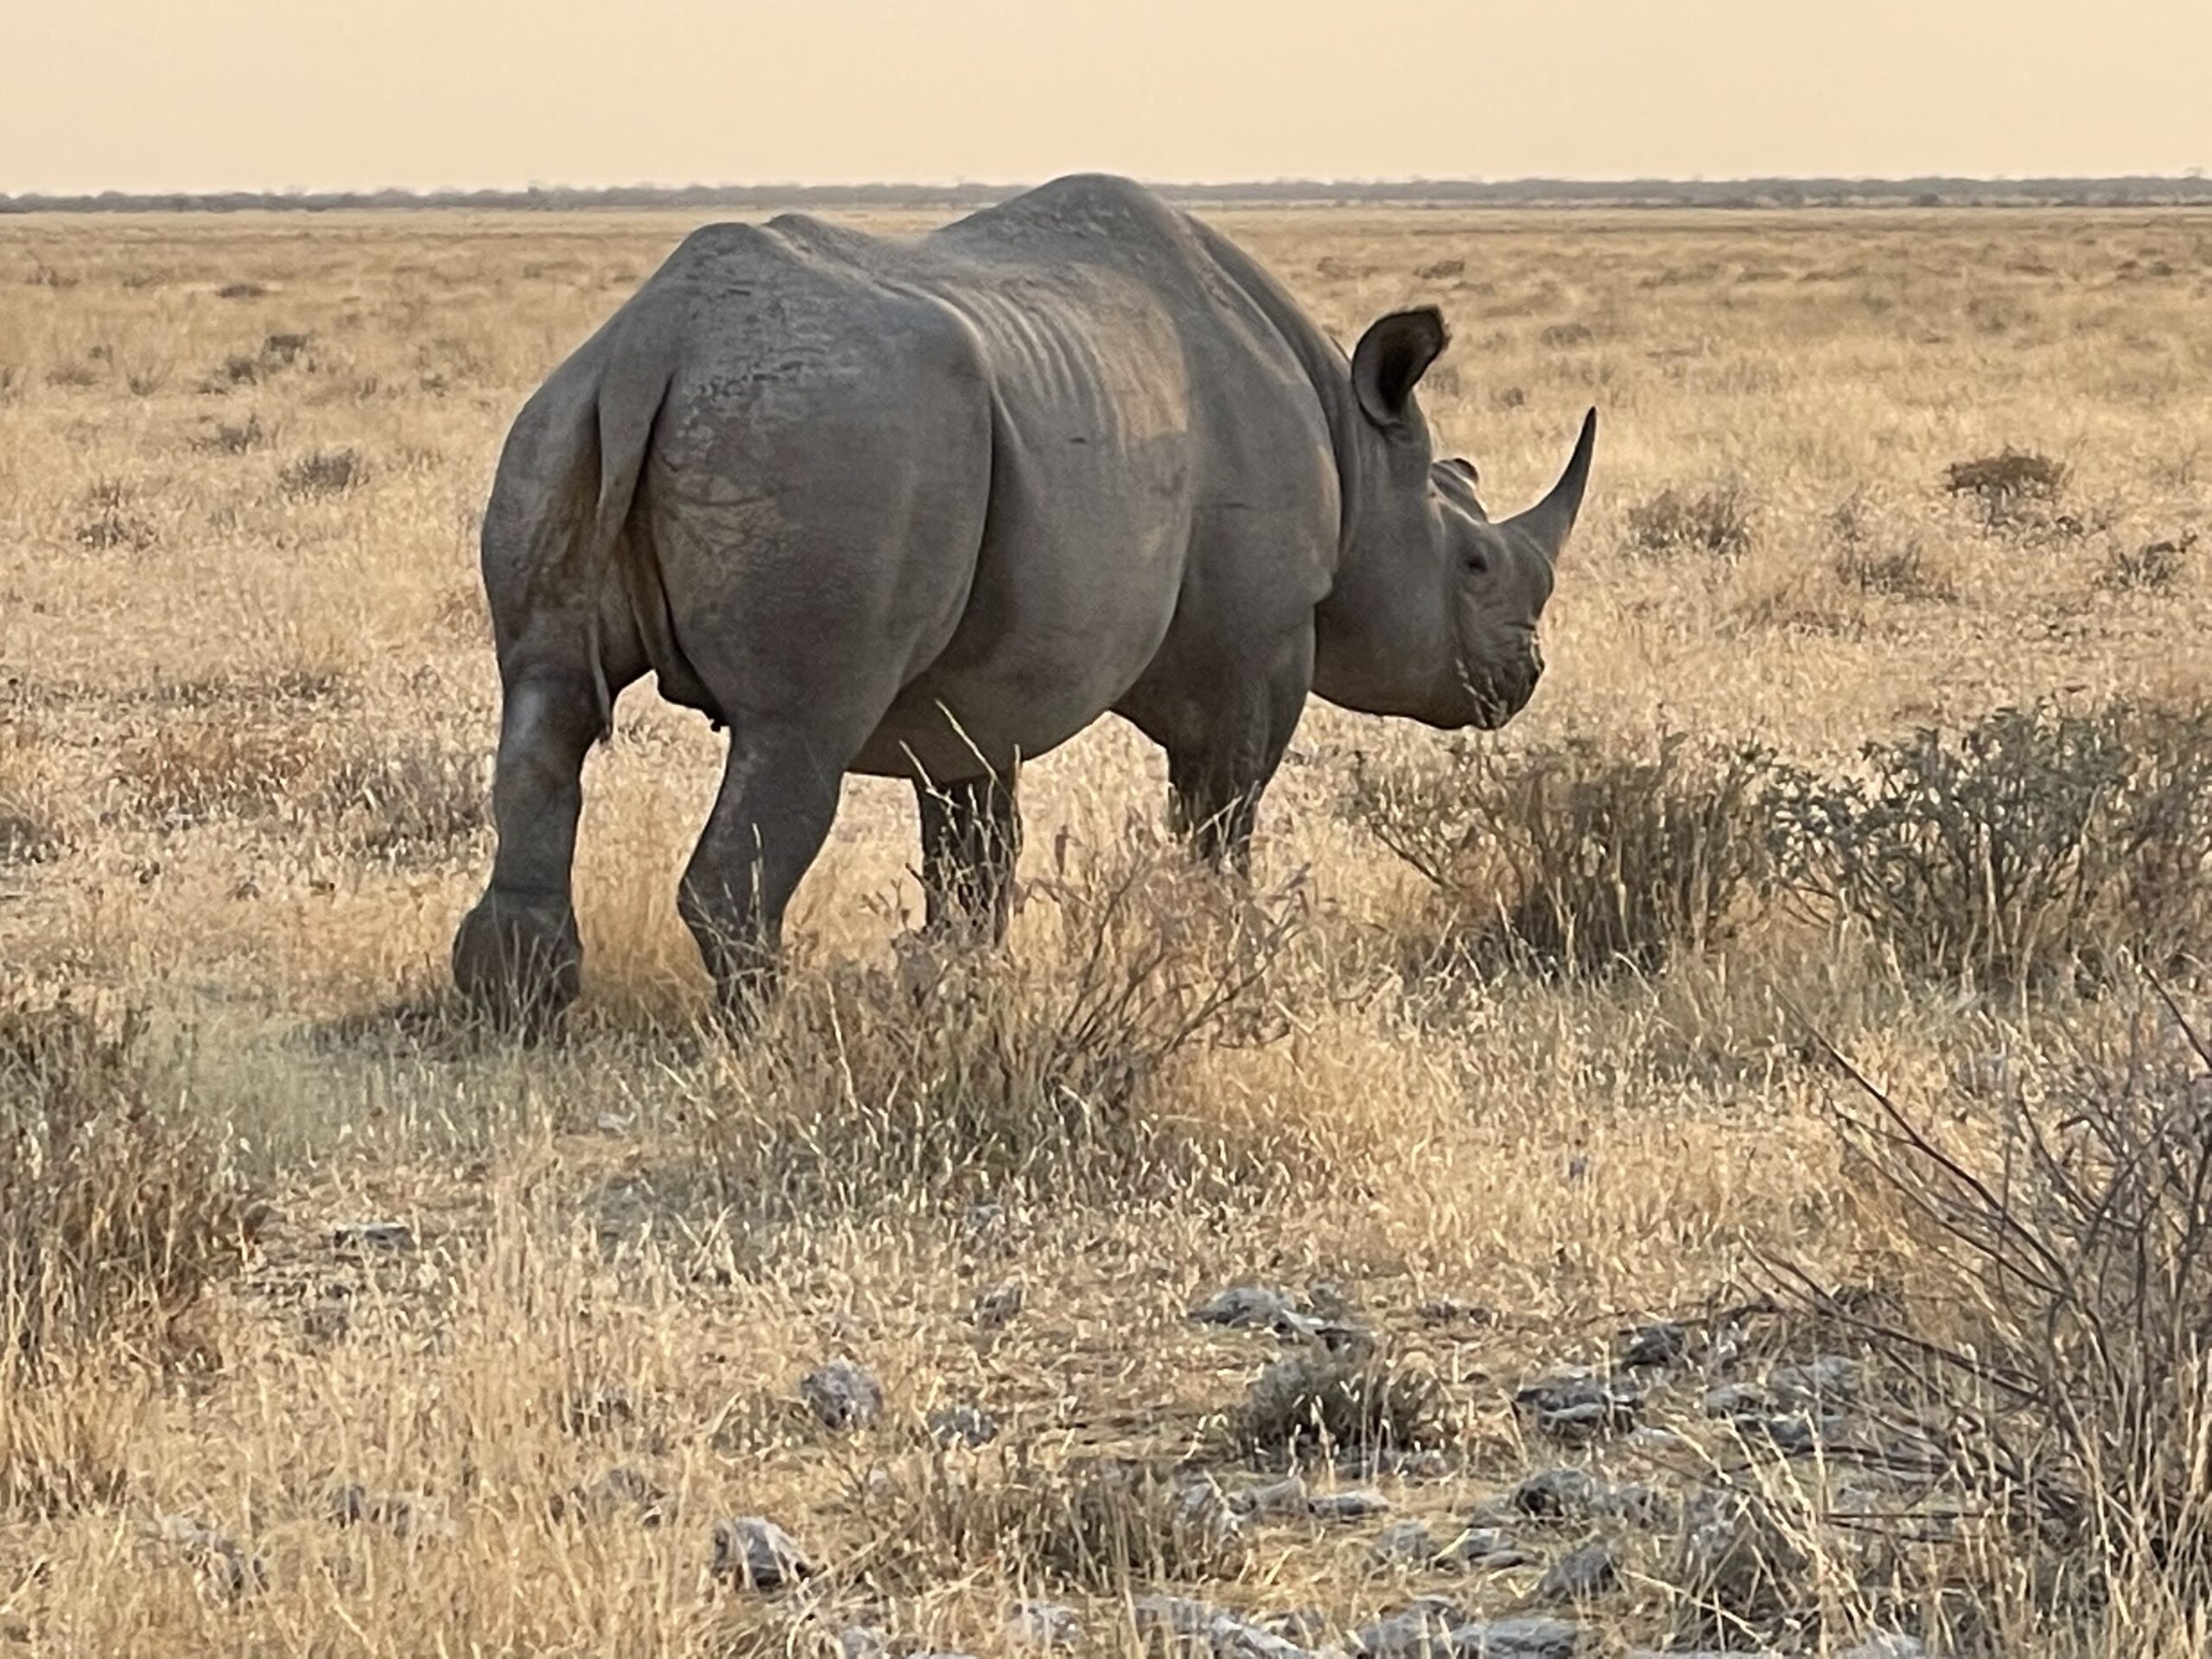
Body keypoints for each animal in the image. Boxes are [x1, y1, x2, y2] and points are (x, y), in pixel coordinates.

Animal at [453, 173, 1595, 1025]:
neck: (1359, 459)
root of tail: (656, 338)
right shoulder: (1259, 641)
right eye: (1476, 567)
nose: (1524, 677)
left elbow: (972, 850)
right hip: (830, 438)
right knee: (795, 732)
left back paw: (516, 1008)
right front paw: (1226, 966)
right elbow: (1221, 815)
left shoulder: (973, 692)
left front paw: (954, 989)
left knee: (545, 701)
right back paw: (763, 1032)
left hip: (563, 421)